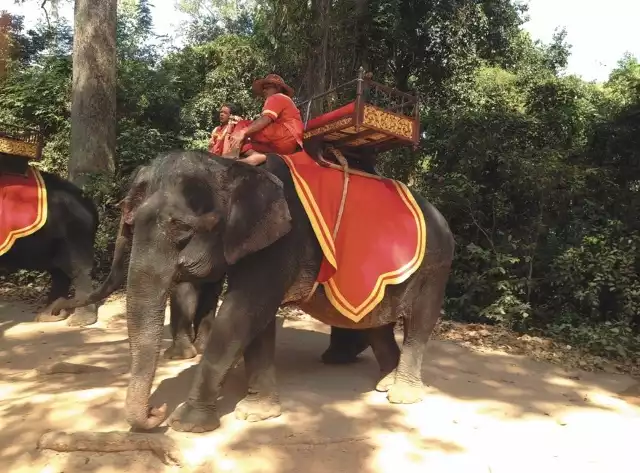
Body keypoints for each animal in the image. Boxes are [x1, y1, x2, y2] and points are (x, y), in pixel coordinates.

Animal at [0, 168, 99, 326]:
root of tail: (89, 203)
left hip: (73, 231)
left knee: (77, 270)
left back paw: (80, 321)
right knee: (59, 271)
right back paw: (51, 315)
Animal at [86, 150, 456, 432]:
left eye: (181, 228)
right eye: (130, 223)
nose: (155, 412)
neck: (232, 165)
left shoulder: (281, 243)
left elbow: (242, 312)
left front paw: (187, 424)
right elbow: (256, 320)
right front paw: (257, 413)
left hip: (436, 264)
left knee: (419, 321)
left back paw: (402, 394)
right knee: (377, 324)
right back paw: (385, 382)